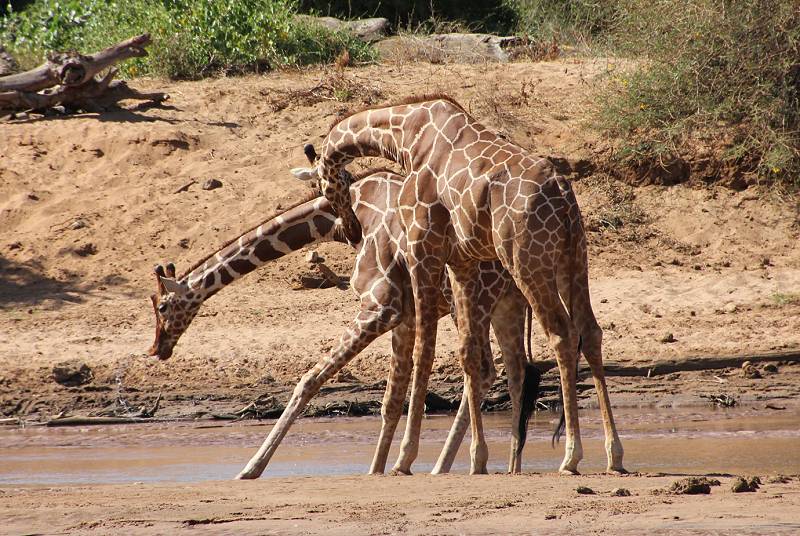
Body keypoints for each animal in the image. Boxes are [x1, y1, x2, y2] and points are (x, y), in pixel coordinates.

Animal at [148, 169, 540, 478]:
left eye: (163, 306)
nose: (157, 348)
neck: (343, 216)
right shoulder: (404, 314)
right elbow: (390, 399)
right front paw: (377, 469)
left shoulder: (383, 306)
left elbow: (309, 380)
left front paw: (251, 468)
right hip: (504, 304)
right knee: (506, 369)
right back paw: (504, 466)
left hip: (477, 300)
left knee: (484, 369)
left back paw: (463, 464)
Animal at [288, 96, 624, 478]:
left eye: (324, 186)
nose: (352, 229)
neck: (407, 138)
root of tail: (564, 195)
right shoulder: (460, 260)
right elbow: (467, 353)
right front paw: (477, 458)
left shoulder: (423, 248)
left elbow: (424, 353)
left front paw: (405, 458)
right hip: (575, 257)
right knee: (591, 332)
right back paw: (613, 454)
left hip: (527, 260)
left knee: (562, 335)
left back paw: (571, 456)